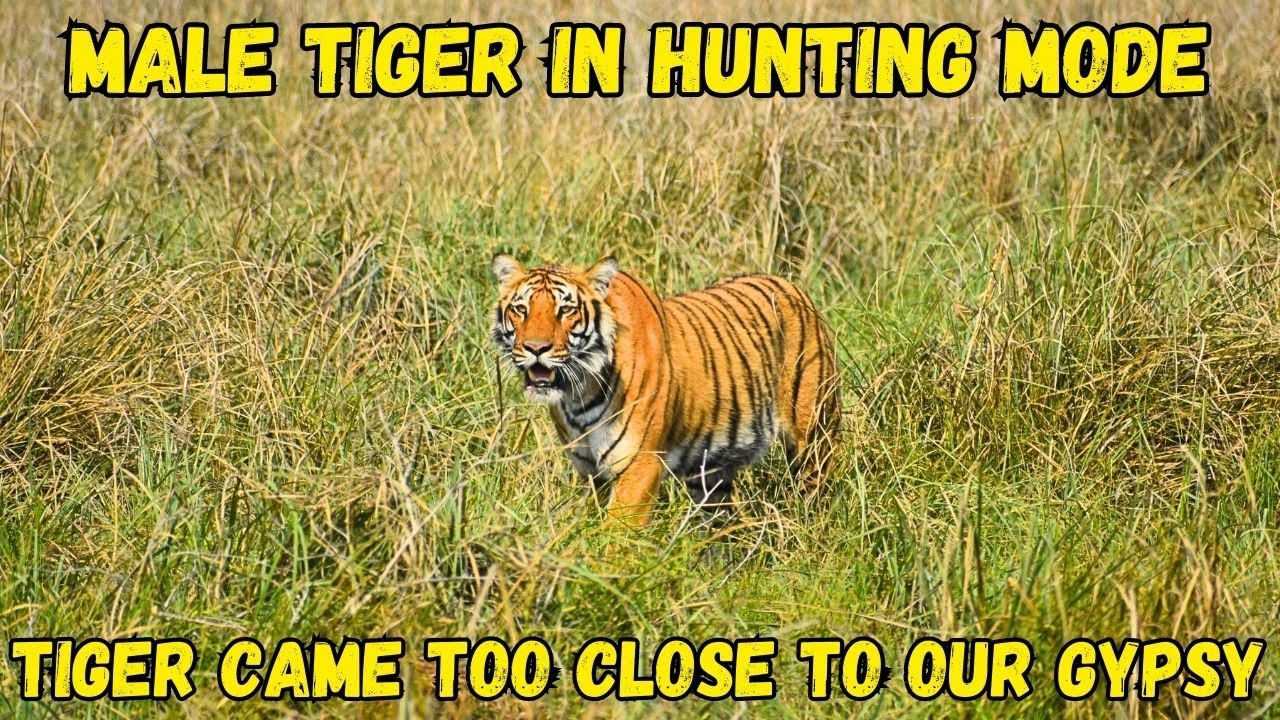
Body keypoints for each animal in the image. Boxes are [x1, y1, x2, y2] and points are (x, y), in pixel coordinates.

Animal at [490, 254, 840, 527]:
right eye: (521, 309)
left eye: (565, 310)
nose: (536, 348)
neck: (579, 393)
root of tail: (791, 285)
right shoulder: (590, 472)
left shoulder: (639, 465)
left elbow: (614, 537)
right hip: (712, 476)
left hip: (813, 438)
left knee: (814, 499)